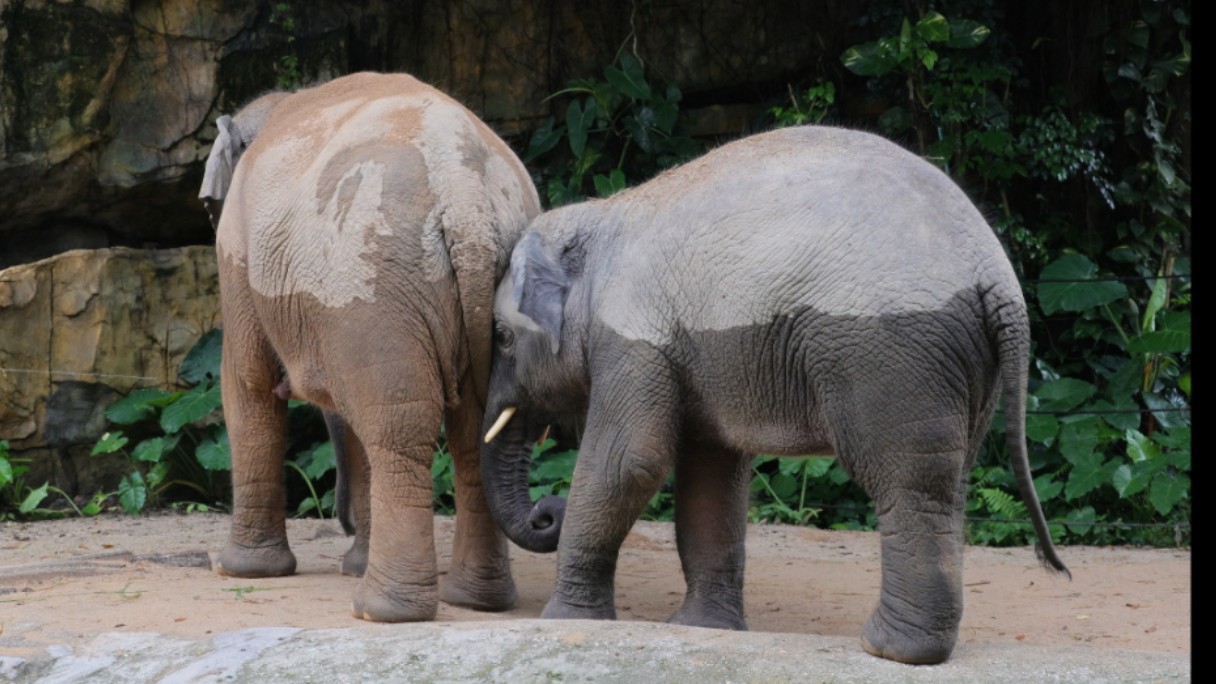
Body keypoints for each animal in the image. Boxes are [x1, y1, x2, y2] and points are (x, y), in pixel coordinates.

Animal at [479, 123, 1070, 662]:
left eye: (503, 338)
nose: (545, 514)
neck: (600, 217)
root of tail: (998, 279)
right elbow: (711, 473)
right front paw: (703, 629)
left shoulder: (634, 334)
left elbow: (630, 462)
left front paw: (564, 620)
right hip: (963, 366)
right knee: (950, 481)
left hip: (892, 352)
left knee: (908, 480)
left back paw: (890, 650)